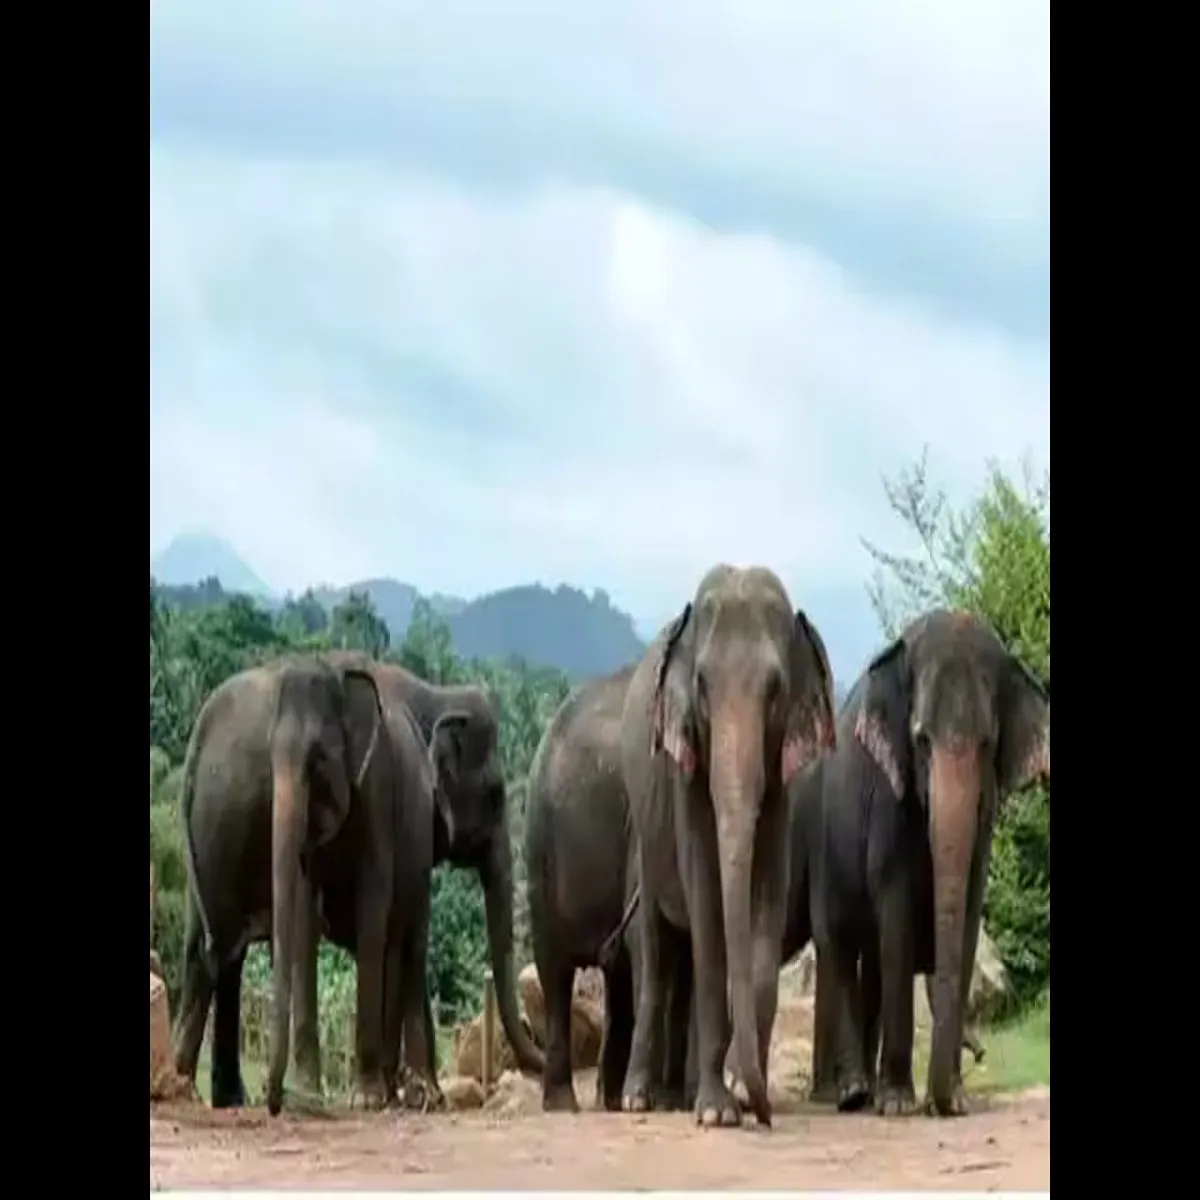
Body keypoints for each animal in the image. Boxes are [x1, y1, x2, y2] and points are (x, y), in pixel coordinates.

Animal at [171, 654, 392, 1111]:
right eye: (267, 760)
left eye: (321, 761)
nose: (274, 1101)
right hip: (212, 834)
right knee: (211, 950)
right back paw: (192, 1088)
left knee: (220, 953)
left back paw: (221, 1095)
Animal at [618, 565, 837, 1128]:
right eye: (700, 684)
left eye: (776, 689)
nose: (764, 1112)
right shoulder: (684, 775)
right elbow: (706, 895)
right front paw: (718, 1113)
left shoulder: (781, 785)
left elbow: (765, 898)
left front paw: (738, 1093)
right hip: (644, 848)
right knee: (656, 959)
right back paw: (638, 1100)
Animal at [811, 609, 1049, 1118]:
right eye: (920, 740)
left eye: (987, 744)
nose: (943, 1102)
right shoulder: (888, 797)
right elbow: (896, 911)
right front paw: (899, 1105)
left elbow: (969, 913)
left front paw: (954, 1101)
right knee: (838, 945)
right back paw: (855, 1094)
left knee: (870, 962)